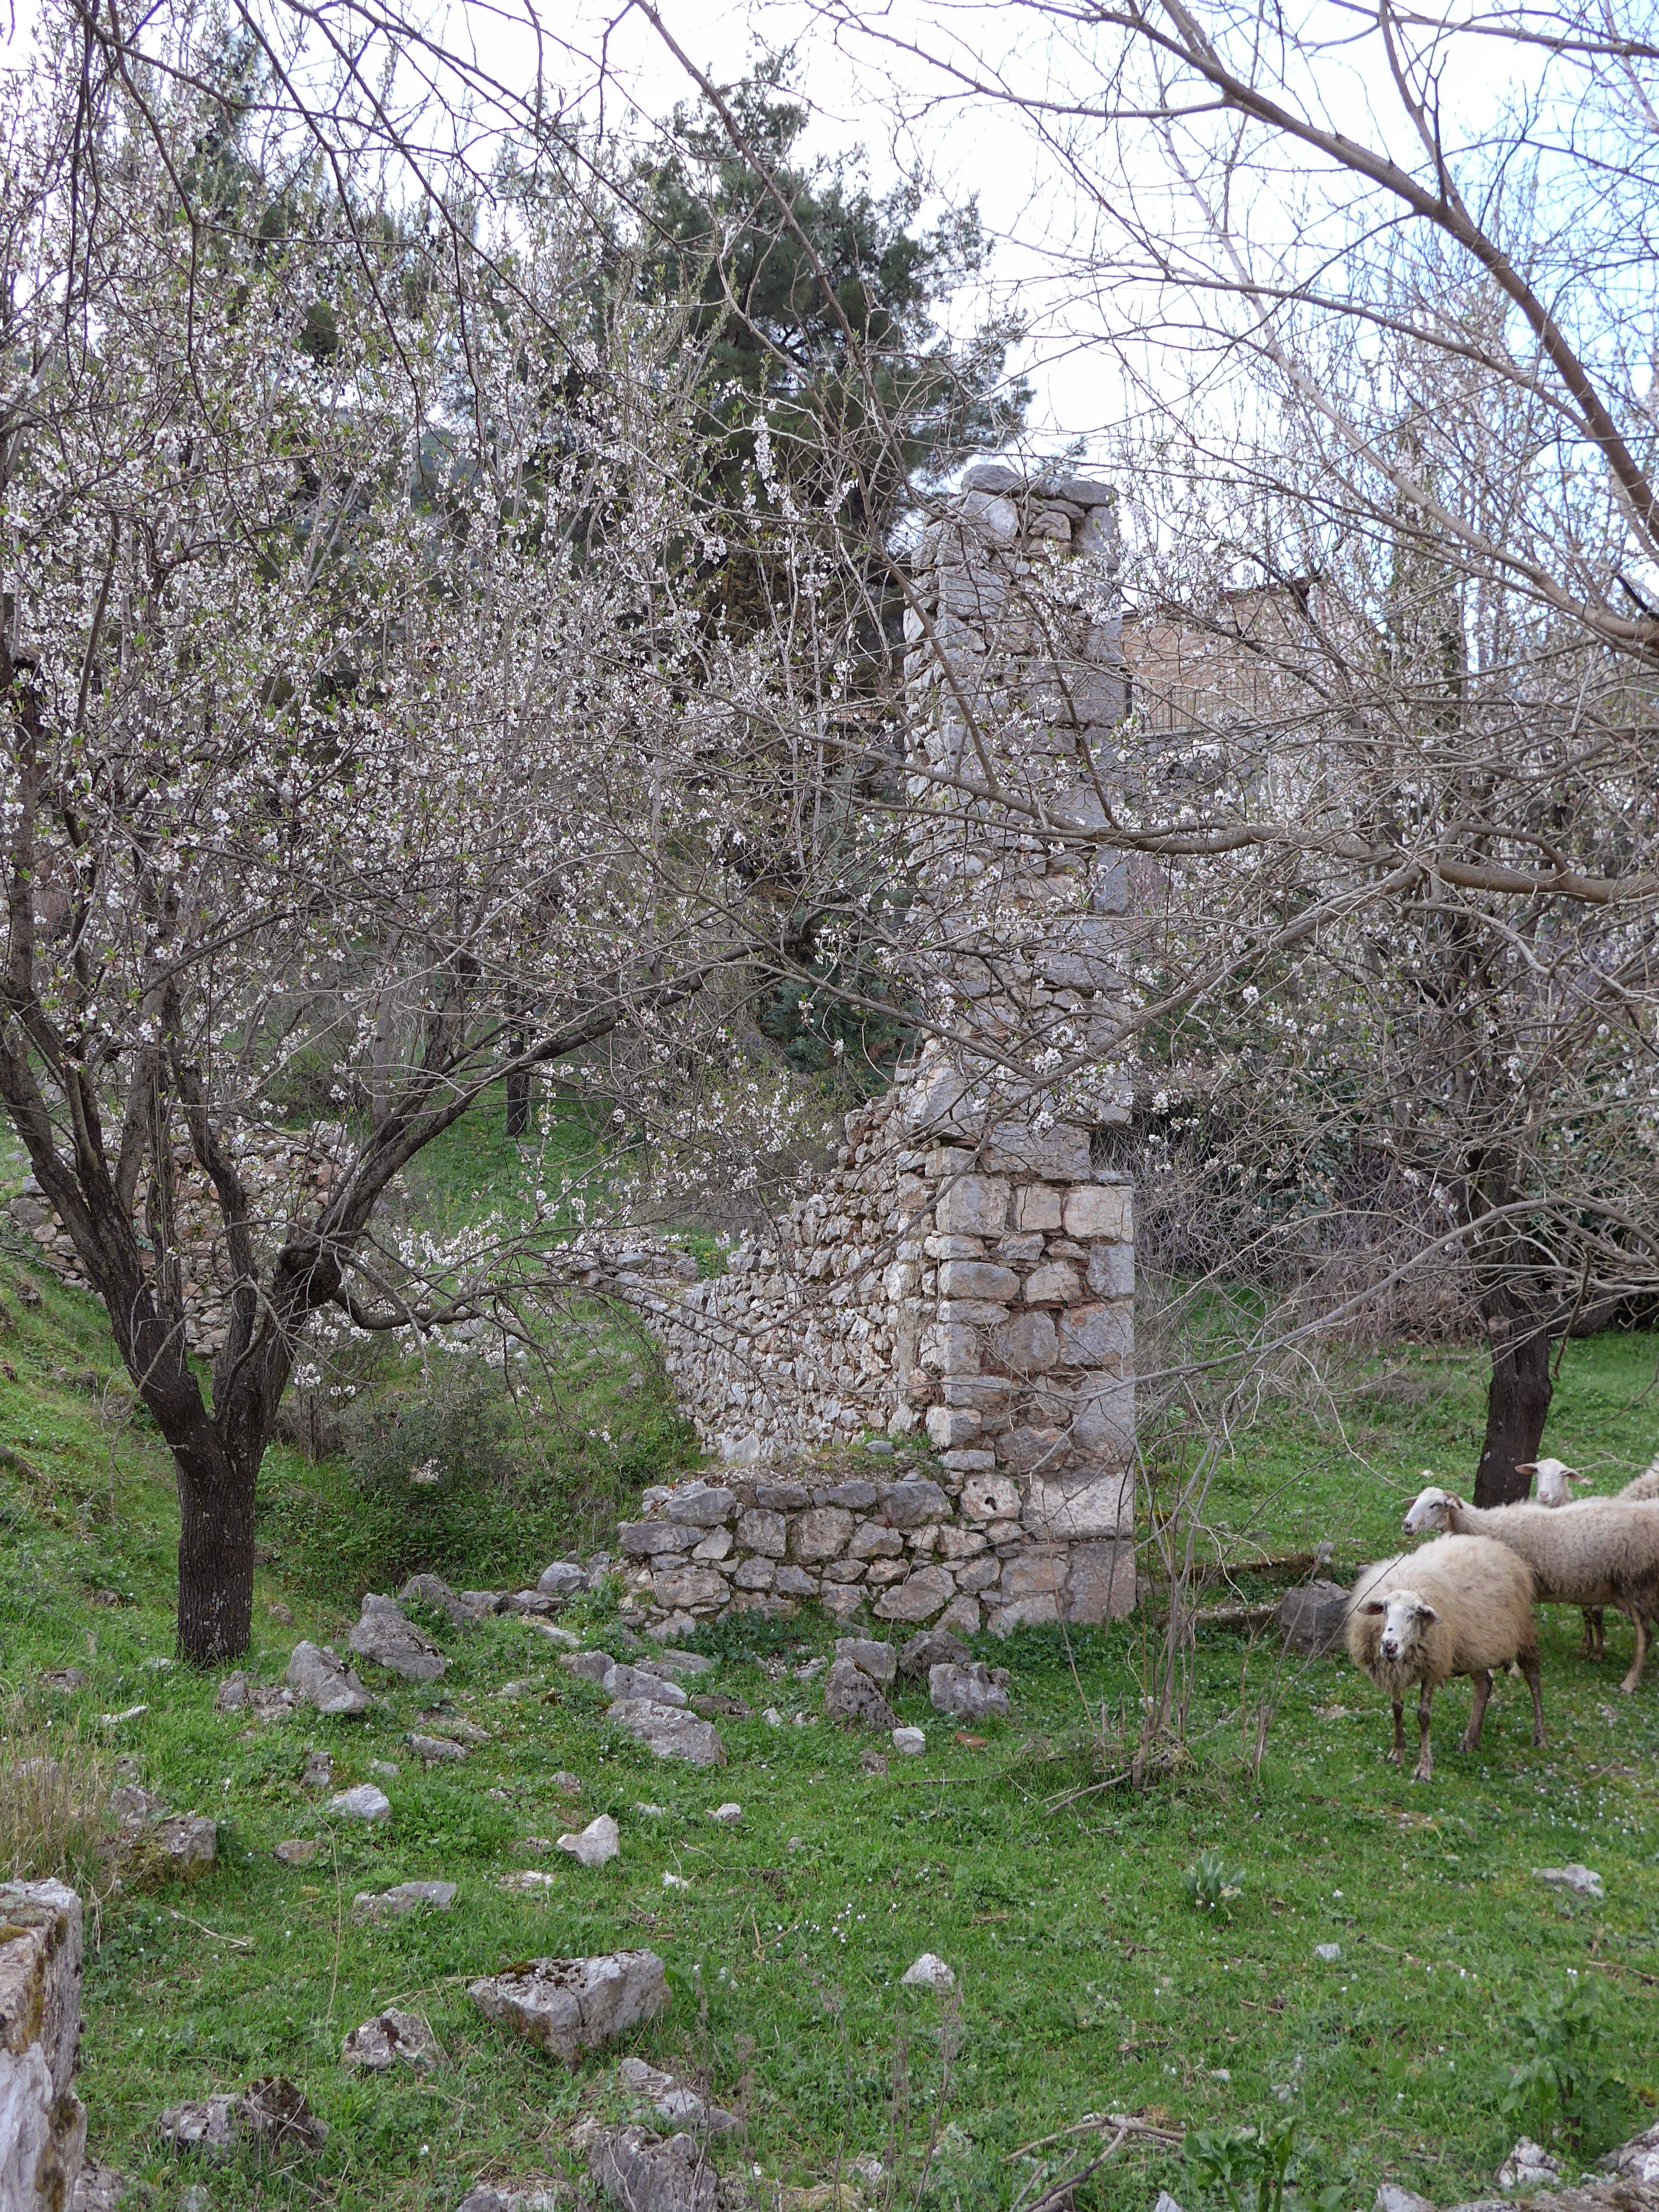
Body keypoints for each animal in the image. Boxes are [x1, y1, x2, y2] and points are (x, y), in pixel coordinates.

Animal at [1345, 1534, 1544, 1781]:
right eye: (1385, 1609)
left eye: (1415, 1614)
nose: (1389, 1646)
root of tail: (1492, 1543)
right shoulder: (1394, 1669)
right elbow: (1396, 1707)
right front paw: (1397, 1752)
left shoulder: (1433, 1665)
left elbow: (1424, 1715)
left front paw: (1424, 1767)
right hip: (1475, 1646)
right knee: (1484, 1684)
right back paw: (1469, 1741)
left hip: (1522, 1630)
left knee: (1533, 1675)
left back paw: (1540, 1737)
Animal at [1403, 1485, 1659, 1693]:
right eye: (1415, 1501)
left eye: (1435, 1504)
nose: (1406, 1525)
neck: (1486, 1527)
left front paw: (1514, 1670)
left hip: (1636, 1585)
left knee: (1646, 1635)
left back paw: (1629, 1683)